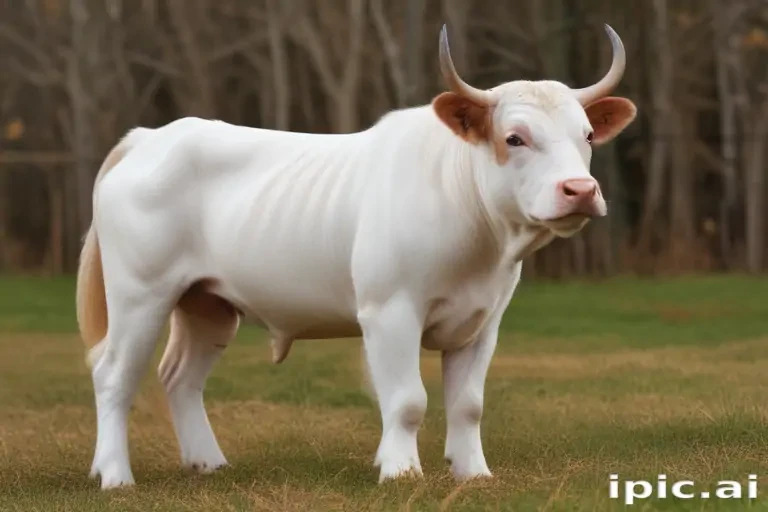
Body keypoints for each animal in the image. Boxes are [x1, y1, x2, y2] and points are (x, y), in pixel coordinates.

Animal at [76, 24, 637, 490]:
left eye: (587, 135)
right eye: (514, 138)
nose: (580, 190)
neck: (479, 239)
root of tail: (149, 138)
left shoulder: (484, 321)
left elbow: (468, 405)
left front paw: (473, 473)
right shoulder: (390, 310)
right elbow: (407, 400)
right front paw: (401, 471)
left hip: (207, 304)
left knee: (181, 377)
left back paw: (206, 461)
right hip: (140, 295)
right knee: (113, 375)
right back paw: (115, 475)